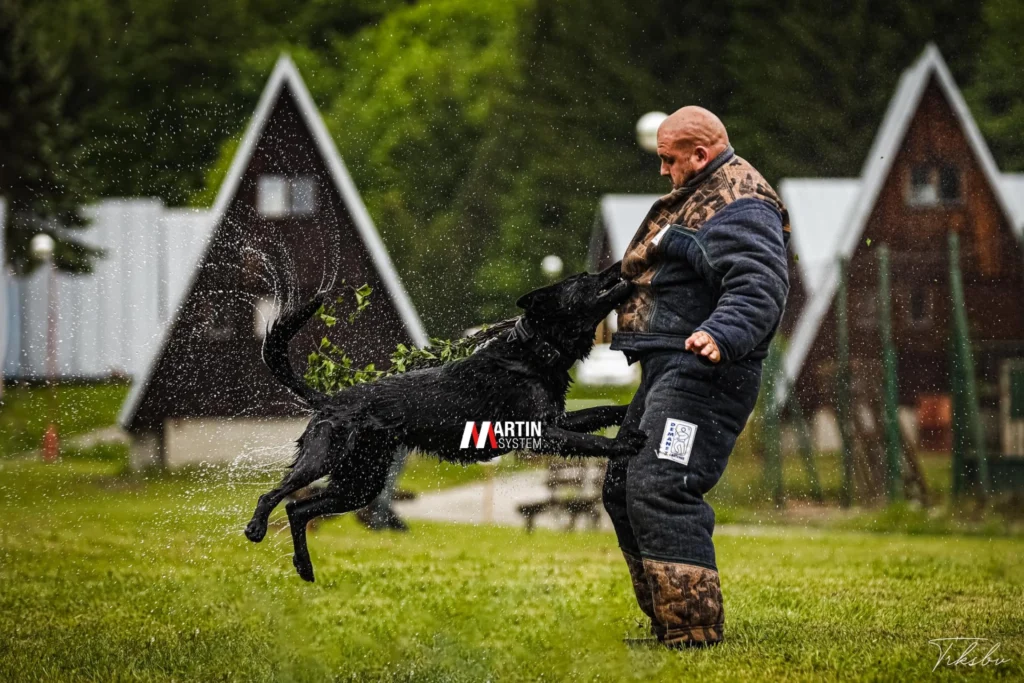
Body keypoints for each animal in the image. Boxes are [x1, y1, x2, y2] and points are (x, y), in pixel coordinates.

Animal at [245, 263, 644, 582]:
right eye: (584, 278)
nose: (618, 264)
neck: (535, 351)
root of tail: (328, 400)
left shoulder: (558, 421)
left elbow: (603, 411)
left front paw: (628, 410)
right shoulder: (540, 433)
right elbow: (596, 442)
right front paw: (625, 443)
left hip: (362, 483)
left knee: (298, 509)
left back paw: (304, 567)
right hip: (325, 459)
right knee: (274, 495)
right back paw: (256, 528)